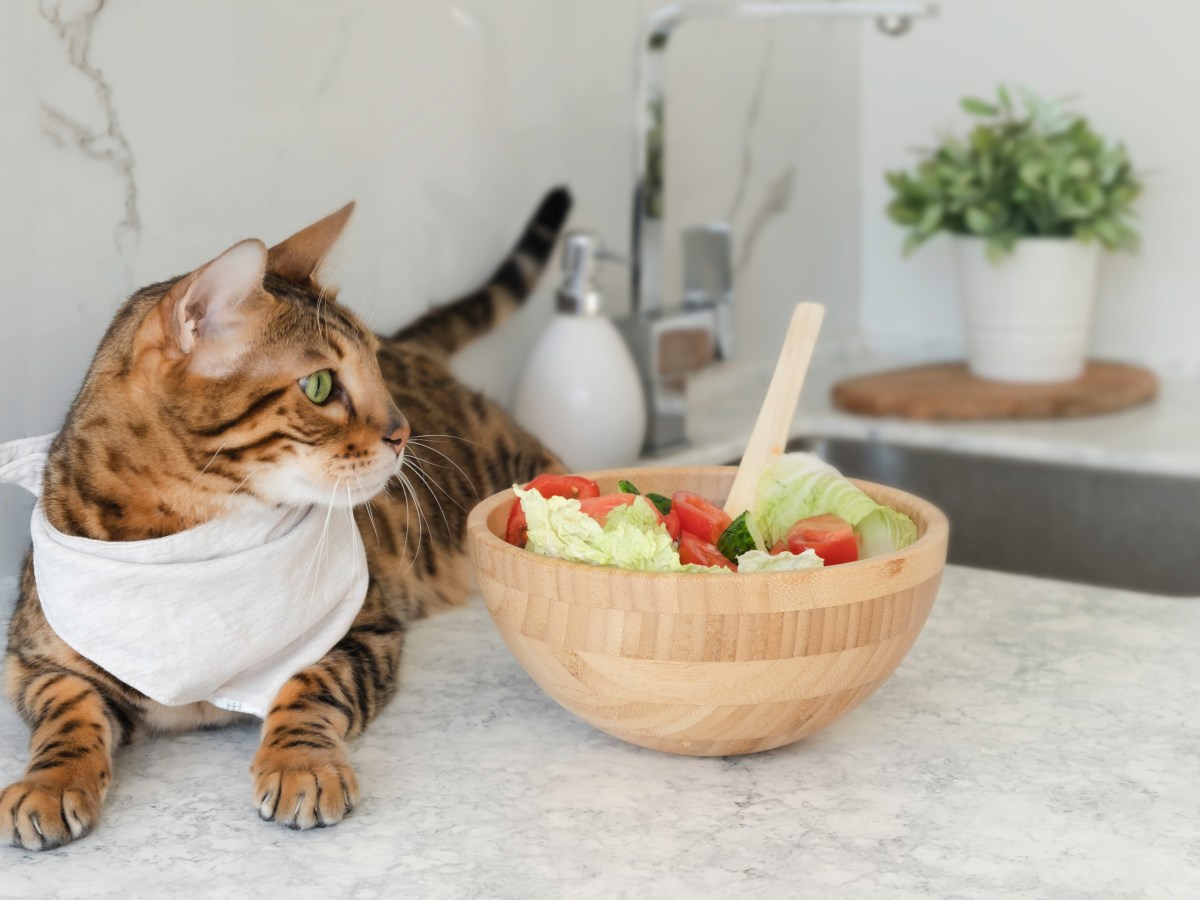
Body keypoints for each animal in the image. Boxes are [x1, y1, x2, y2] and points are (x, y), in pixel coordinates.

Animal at [0, 187, 571, 849]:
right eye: (320, 386)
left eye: (376, 367)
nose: (402, 432)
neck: (187, 540)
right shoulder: (35, 660)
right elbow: (66, 713)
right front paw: (49, 782)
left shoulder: (364, 626)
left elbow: (306, 688)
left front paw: (302, 764)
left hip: (517, 463)